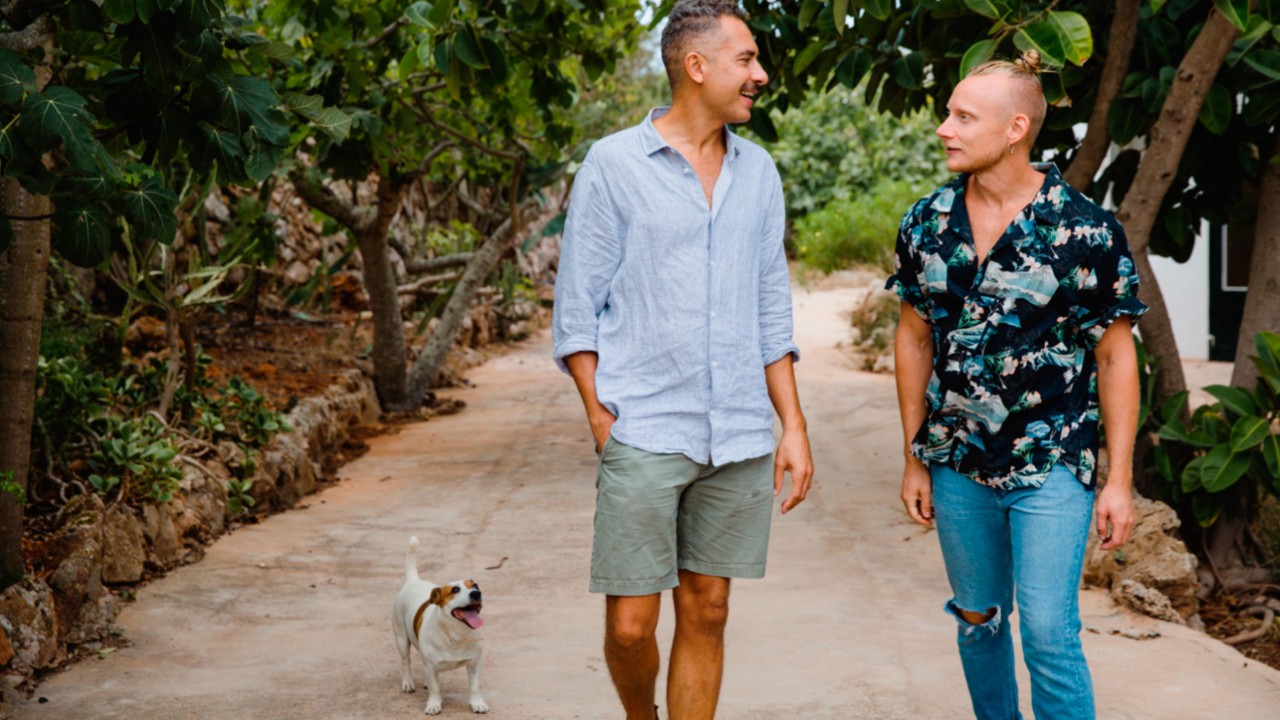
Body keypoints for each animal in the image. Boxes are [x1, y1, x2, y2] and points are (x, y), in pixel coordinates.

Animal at [386, 532, 486, 712]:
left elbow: (475, 686)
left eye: (475, 585)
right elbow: (435, 688)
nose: (477, 593)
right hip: (401, 639)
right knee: (406, 661)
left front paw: (478, 704)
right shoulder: (432, 667)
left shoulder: (475, 663)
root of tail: (413, 580)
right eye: (455, 590)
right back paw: (408, 682)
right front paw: (433, 704)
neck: (456, 634)